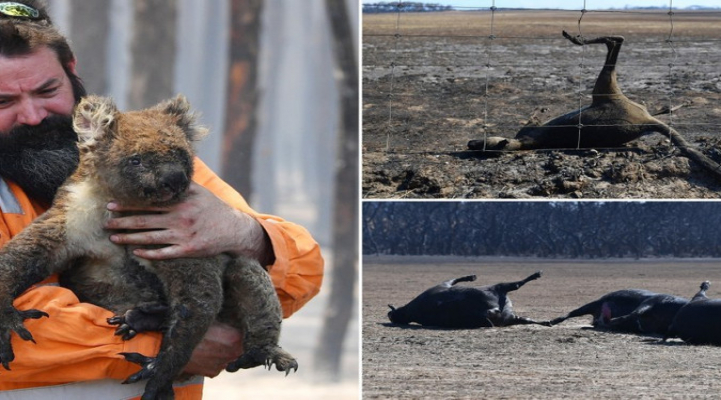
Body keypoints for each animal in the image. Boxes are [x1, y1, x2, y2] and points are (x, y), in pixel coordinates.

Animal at [386, 272, 544, 328]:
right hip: (499, 288)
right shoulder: (443, 284)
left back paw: (551, 321)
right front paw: (471, 277)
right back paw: (535, 275)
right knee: (517, 285)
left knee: (529, 320)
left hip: (510, 316)